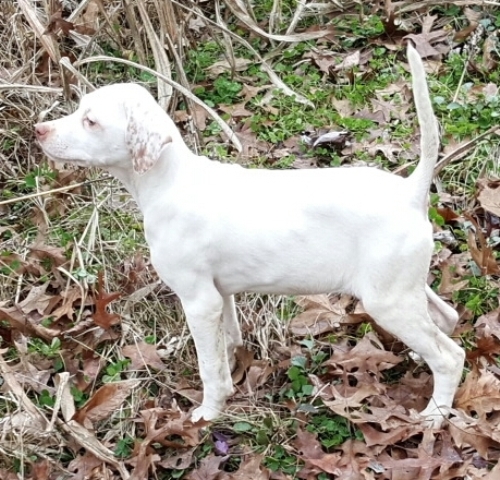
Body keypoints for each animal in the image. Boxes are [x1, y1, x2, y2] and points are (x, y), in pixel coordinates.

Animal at [35, 44, 464, 428]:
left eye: (90, 121)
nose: (38, 130)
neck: (170, 180)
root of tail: (409, 191)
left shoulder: (198, 300)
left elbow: (209, 366)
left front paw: (209, 412)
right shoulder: (219, 295)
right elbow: (224, 344)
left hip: (387, 299)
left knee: (450, 357)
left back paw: (435, 415)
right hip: (402, 287)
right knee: (447, 319)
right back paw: (418, 361)